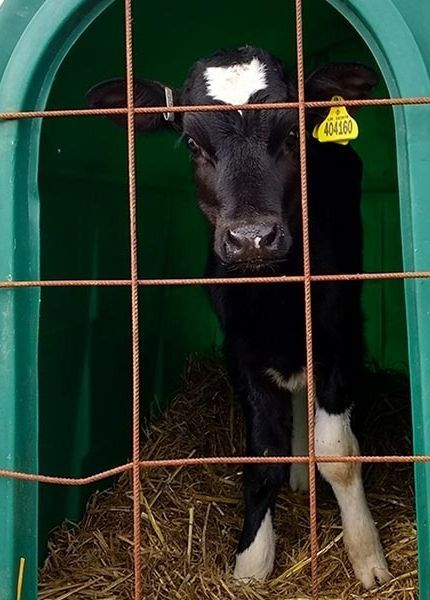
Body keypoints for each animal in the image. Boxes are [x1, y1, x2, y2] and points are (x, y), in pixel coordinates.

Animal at [90, 48, 394, 592]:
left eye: (293, 133)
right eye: (192, 142)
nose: (251, 238)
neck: (273, 297)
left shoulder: (342, 333)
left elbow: (339, 452)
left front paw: (367, 553)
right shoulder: (239, 346)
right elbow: (263, 454)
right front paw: (252, 561)